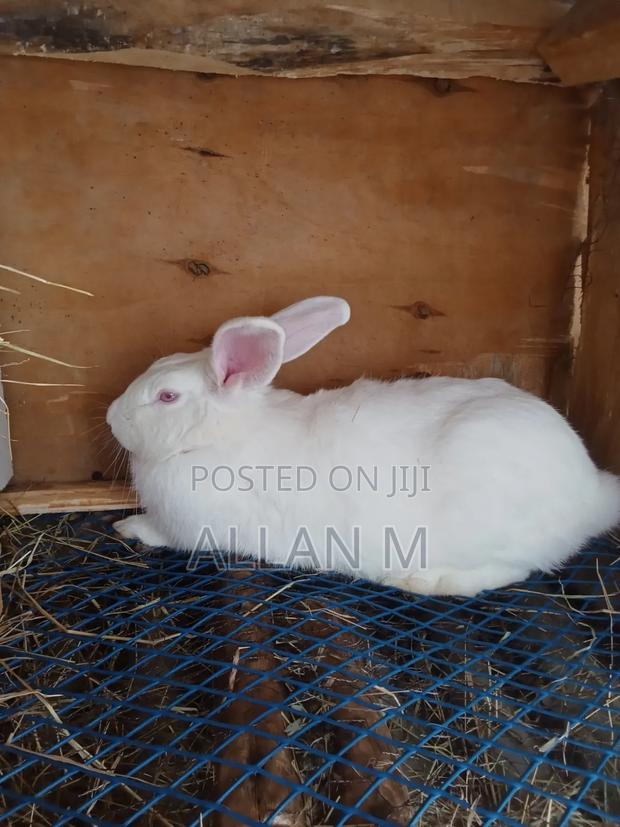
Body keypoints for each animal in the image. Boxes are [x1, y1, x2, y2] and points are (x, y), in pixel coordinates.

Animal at [106, 296, 620, 596]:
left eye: (167, 396)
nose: (112, 418)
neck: (217, 439)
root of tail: (590, 488)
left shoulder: (191, 528)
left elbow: (162, 533)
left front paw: (128, 527)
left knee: (512, 571)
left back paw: (423, 580)